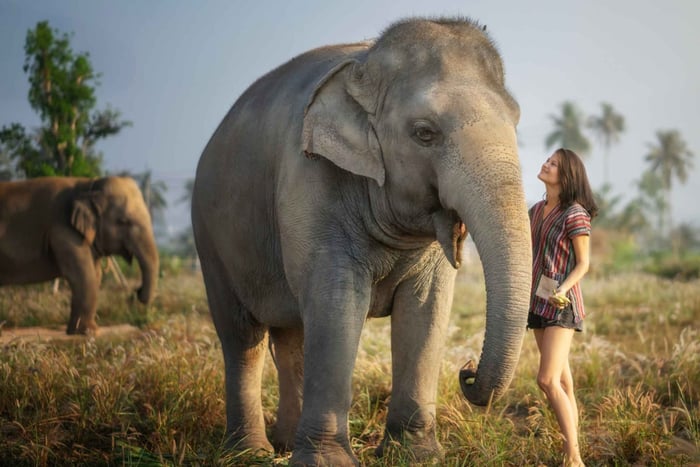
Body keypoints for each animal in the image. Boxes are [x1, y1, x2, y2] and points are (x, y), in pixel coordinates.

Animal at [0, 176, 159, 335]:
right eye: (123, 221)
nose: (136, 292)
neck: (89, 185)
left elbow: (95, 274)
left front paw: (78, 331)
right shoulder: (63, 231)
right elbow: (83, 274)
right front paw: (88, 331)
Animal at [192, 17, 532, 466]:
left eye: (516, 121)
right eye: (425, 133)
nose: (467, 369)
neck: (365, 65)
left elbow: (426, 308)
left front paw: (417, 456)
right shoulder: (310, 181)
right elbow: (337, 301)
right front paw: (328, 462)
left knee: (292, 336)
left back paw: (285, 443)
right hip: (210, 237)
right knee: (242, 336)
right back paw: (250, 453)